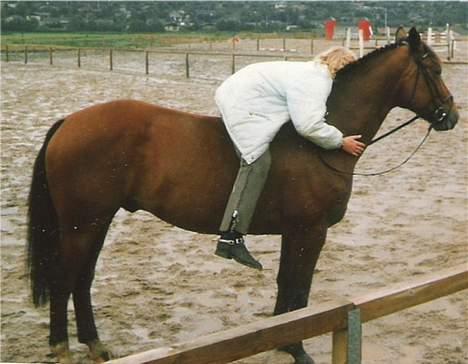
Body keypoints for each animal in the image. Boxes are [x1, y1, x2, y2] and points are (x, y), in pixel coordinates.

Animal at [26, 28, 458, 364]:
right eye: (435, 70)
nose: (451, 116)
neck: (318, 145)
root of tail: (69, 122)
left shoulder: (295, 233)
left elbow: (286, 284)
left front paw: (281, 339)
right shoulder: (310, 232)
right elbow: (299, 288)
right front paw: (296, 347)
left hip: (96, 222)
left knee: (82, 279)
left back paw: (94, 344)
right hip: (84, 223)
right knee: (66, 279)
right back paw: (62, 346)